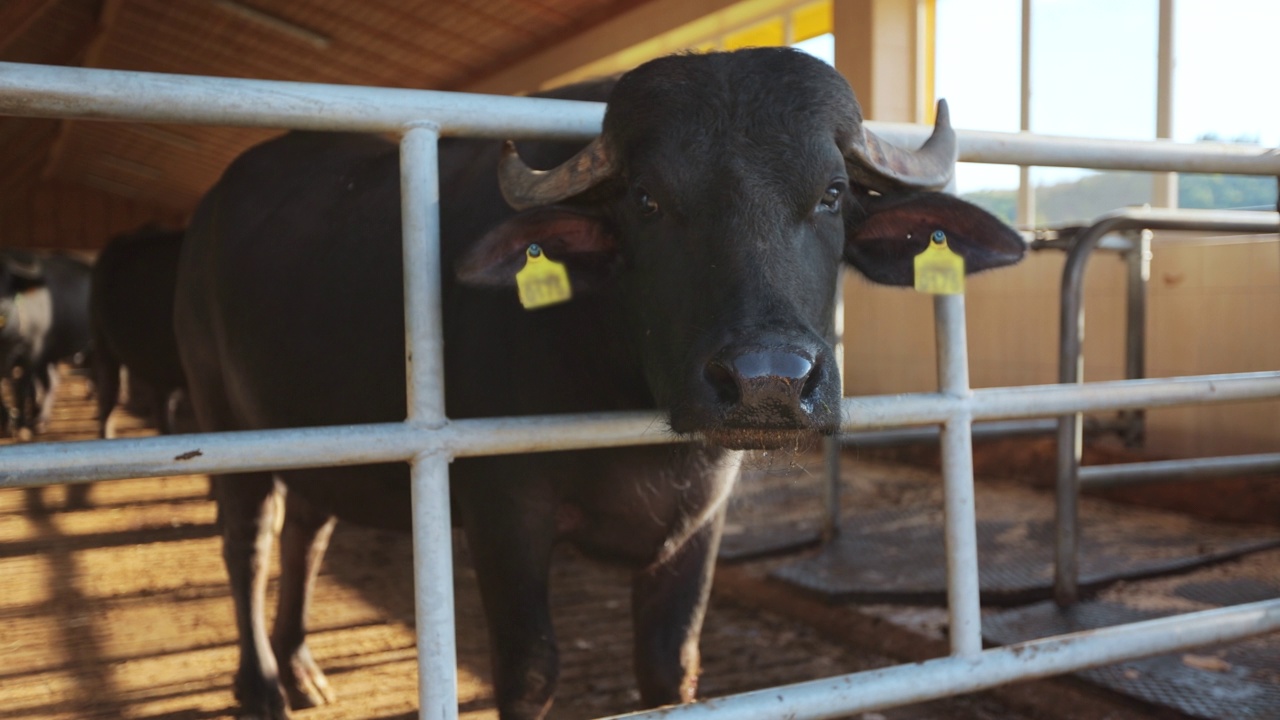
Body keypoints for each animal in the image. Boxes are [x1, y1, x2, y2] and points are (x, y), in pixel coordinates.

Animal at [0, 245, 92, 438]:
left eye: (7, 280)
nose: (2, 308)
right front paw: (7, 422)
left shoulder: (33, 351)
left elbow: (21, 387)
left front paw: (21, 425)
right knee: (50, 382)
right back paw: (40, 418)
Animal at [175, 47, 1024, 712]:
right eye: (647, 199)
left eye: (833, 192)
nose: (768, 381)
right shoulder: (504, 508)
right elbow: (529, 671)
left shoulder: (700, 519)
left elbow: (670, 668)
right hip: (223, 422)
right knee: (249, 542)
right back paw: (260, 686)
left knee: (306, 534)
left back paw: (301, 667)